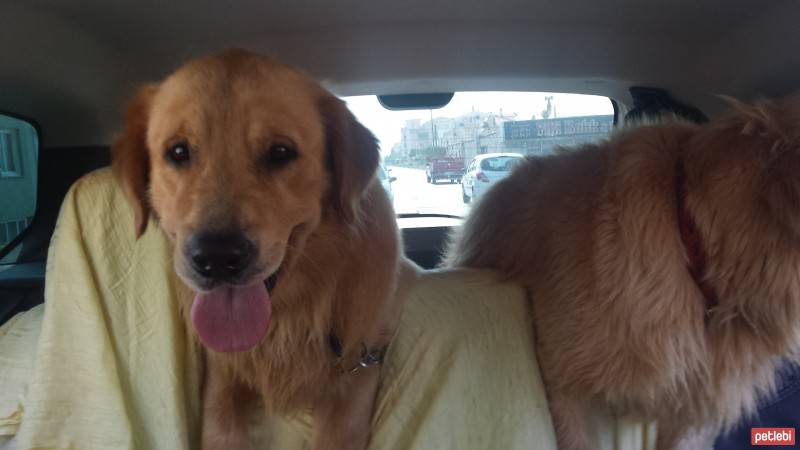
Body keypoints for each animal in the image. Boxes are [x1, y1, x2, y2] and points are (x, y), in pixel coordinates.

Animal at [109, 50, 404, 450]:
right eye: (178, 151)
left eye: (280, 152)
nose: (217, 258)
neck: (288, 318)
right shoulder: (222, 377)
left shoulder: (359, 369)